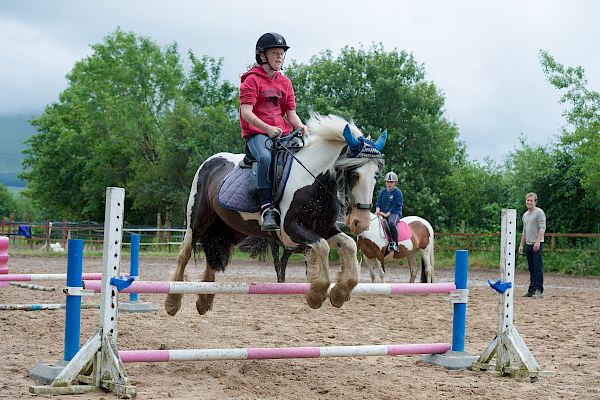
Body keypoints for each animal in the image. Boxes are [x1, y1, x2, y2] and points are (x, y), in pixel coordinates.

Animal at [166, 113, 386, 316]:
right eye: (355, 175)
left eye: (376, 175)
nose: (361, 223)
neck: (312, 181)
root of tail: (210, 162)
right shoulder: (291, 231)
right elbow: (322, 247)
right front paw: (316, 295)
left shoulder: (324, 229)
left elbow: (349, 245)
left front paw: (340, 293)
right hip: (197, 222)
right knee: (184, 254)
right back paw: (172, 302)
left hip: (232, 228)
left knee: (215, 253)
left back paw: (204, 300)